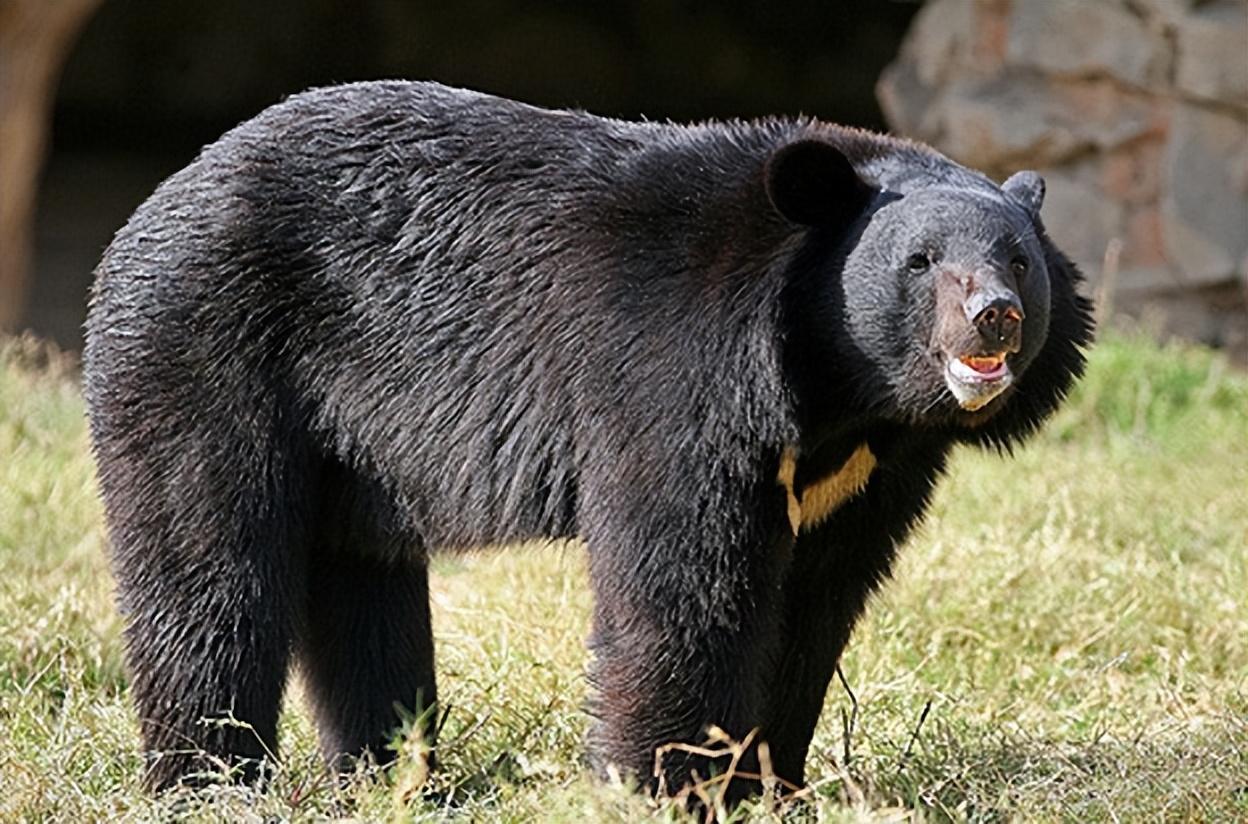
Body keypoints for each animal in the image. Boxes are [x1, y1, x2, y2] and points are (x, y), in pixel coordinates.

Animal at [82, 80, 1093, 799]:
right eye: (922, 263)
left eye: (1017, 261)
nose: (995, 319)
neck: (840, 393)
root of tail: (152, 205)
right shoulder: (674, 373)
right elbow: (682, 582)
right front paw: (669, 785)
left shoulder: (871, 471)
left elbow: (815, 602)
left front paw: (772, 784)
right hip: (204, 348)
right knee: (207, 564)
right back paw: (208, 780)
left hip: (347, 440)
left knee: (361, 584)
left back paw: (392, 776)